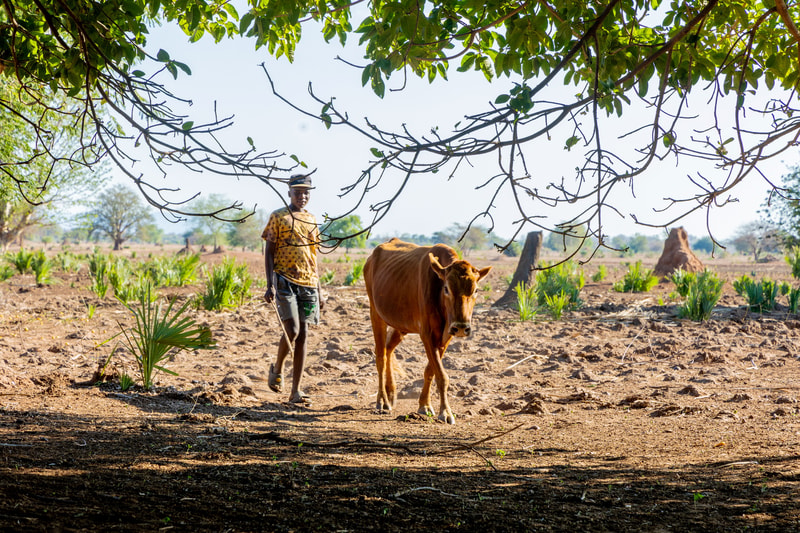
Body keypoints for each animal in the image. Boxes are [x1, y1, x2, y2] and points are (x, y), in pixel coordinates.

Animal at [364, 238, 492, 424]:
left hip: (400, 325)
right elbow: (441, 376)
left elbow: (430, 371)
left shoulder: (445, 337)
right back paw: (382, 400)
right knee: (381, 356)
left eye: (475, 290)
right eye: (446, 288)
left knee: (388, 349)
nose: (461, 327)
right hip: (376, 314)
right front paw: (445, 412)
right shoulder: (428, 334)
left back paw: (391, 392)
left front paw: (424, 405)